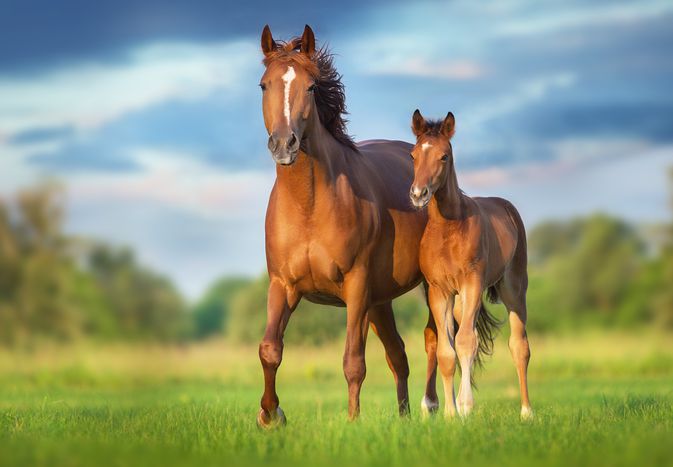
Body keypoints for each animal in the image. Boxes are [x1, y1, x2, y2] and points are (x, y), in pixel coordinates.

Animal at [256, 25, 440, 427]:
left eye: (311, 86)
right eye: (264, 85)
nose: (284, 144)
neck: (308, 206)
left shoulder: (356, 287)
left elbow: (353, 362)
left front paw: (353, 422)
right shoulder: (282, 285)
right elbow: (270, 349)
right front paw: (271, 415)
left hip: (427, 287)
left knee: (435, 339)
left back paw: (431, 406)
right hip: (381, 301)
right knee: (398, 355)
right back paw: (404, 417)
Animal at [408, 109, 533, 419]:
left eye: (444, 156)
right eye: (413, 155)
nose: (418, 194)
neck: (448, 228)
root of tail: (507, 207)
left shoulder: (472, 284)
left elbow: (465, 342)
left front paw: (465, 407)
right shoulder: (439, 291)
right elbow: (447, 351)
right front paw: (450, 414)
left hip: (513, 290)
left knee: (519, 346)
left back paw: (527, 412)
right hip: (462, 301)